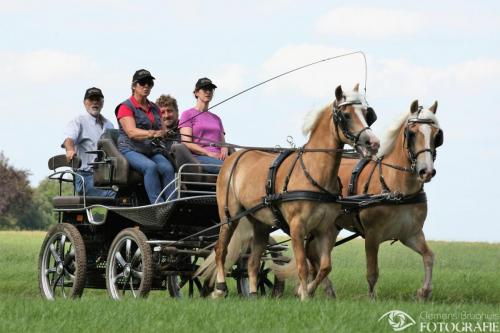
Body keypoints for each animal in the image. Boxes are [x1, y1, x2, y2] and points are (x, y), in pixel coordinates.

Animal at [210, 84, 378, 300]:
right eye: (346, 115)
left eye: (367, 114)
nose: (373, 143)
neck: (314, 173)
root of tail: (233, 157)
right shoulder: (297, 227)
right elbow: (302, 266)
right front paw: (304, 295)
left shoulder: (326, 229)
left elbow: (325, 267)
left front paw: (307, 290)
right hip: (229, 217)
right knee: (220, 250)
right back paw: (220, 288)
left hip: (261, 224)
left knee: (253, 262)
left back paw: (254, 293)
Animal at [274, 100, 442, 300]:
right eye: (412, 133)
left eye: (437, 135)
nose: (426, 171)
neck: (397, 190)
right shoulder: (372, 234)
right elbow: (372, 272)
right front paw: (372, 299)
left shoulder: (410, 233)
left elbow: (429, 256)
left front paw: (424, 292)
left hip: (328, 227)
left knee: (313, 255)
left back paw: (322, 289)